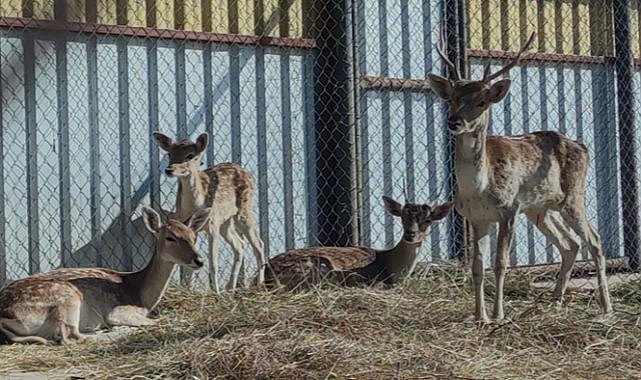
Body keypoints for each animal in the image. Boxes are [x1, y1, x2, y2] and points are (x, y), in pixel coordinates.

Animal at [0, 206, 210, 346]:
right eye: (170, 237)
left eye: (194, 236)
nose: (199, 260)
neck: (140, 294)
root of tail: (6, 315)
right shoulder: (119, 310)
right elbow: (161, 320)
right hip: (67, 298)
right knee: (69, 336)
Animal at [152, 132, 264, 292]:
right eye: (169, 154)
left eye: (190, 155)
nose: (169, 169)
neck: (195, 205)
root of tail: (248, 173)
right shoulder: (190, 227)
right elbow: (189, 263)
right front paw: (188, 289)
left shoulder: (212, 226)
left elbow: (213, 263)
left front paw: (215, 292)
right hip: (225, 221)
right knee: (239, 244)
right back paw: (230, 287)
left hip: (244, 210)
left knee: (258, 244)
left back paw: (259, 285)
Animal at [424, 25, 608, 322]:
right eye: (451, 98)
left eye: (483, 101)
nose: (454, 121)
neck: (478, 188)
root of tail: (582, 146)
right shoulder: (476, 217)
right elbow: (478, 267)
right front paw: (479, 316)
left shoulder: (508, 208)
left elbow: (500, 263)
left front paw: (498, 314)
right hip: (540, 208)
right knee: (570, 244)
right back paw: (555, 302)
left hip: (573, 195)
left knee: (594, 239)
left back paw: (606, 306)